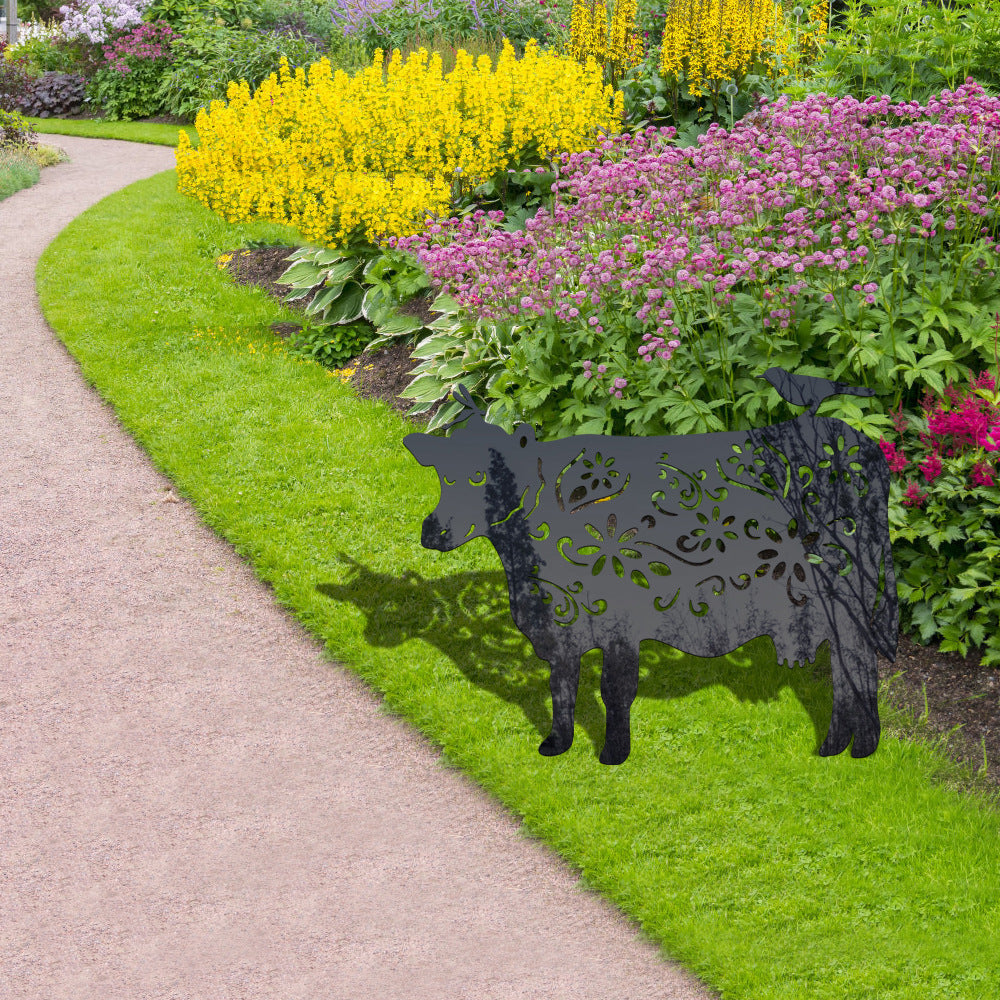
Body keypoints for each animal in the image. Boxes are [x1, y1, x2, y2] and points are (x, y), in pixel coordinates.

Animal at [404, 369, 899, 765]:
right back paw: (836, 747)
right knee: (845, 669)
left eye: (483, 476)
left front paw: (612, 754)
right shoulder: (563, 627)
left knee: (859, 665)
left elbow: (614, 691)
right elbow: (561, 687)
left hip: (849, 595)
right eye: (442, 474)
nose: (433, 532)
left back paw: (860, 749)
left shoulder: (620, 623)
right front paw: (556, 745)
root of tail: (861, 445)